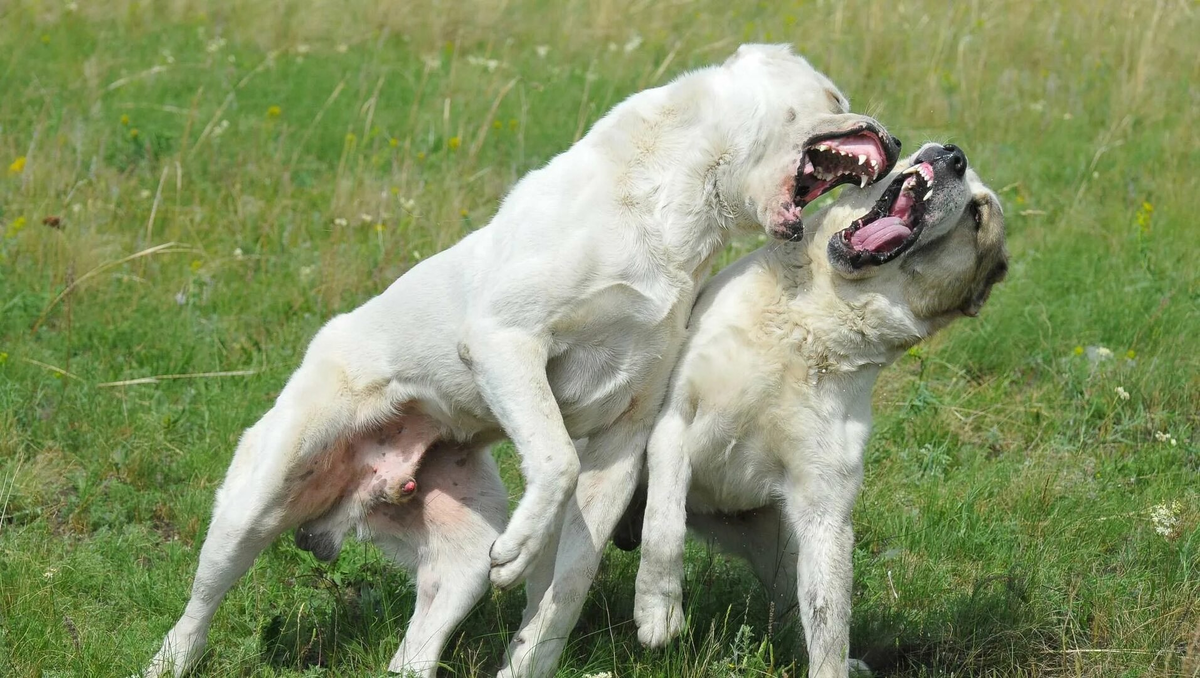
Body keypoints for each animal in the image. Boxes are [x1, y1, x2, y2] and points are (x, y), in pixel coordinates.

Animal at [145, 43, 902, 676]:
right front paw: (524, 547)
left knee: (416, 648)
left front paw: (533, 636)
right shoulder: (505, 341)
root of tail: (345, 507)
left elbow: (565, 585)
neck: (677, 211)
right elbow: (554, 457)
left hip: (457, 565)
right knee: (195, 614)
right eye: (834, 95)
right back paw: (170, 660)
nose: (894, 142)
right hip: (255, 500)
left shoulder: (624, 438)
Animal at [633, 141, 1008, 672]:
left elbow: (829, 621)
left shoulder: (825, 513)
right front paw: (659, 612)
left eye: (978, 216)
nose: (952, 154)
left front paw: (834, 665)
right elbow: (663, 528)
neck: (816, 321)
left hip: (779, 544)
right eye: (962, 170)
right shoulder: (675, 424)